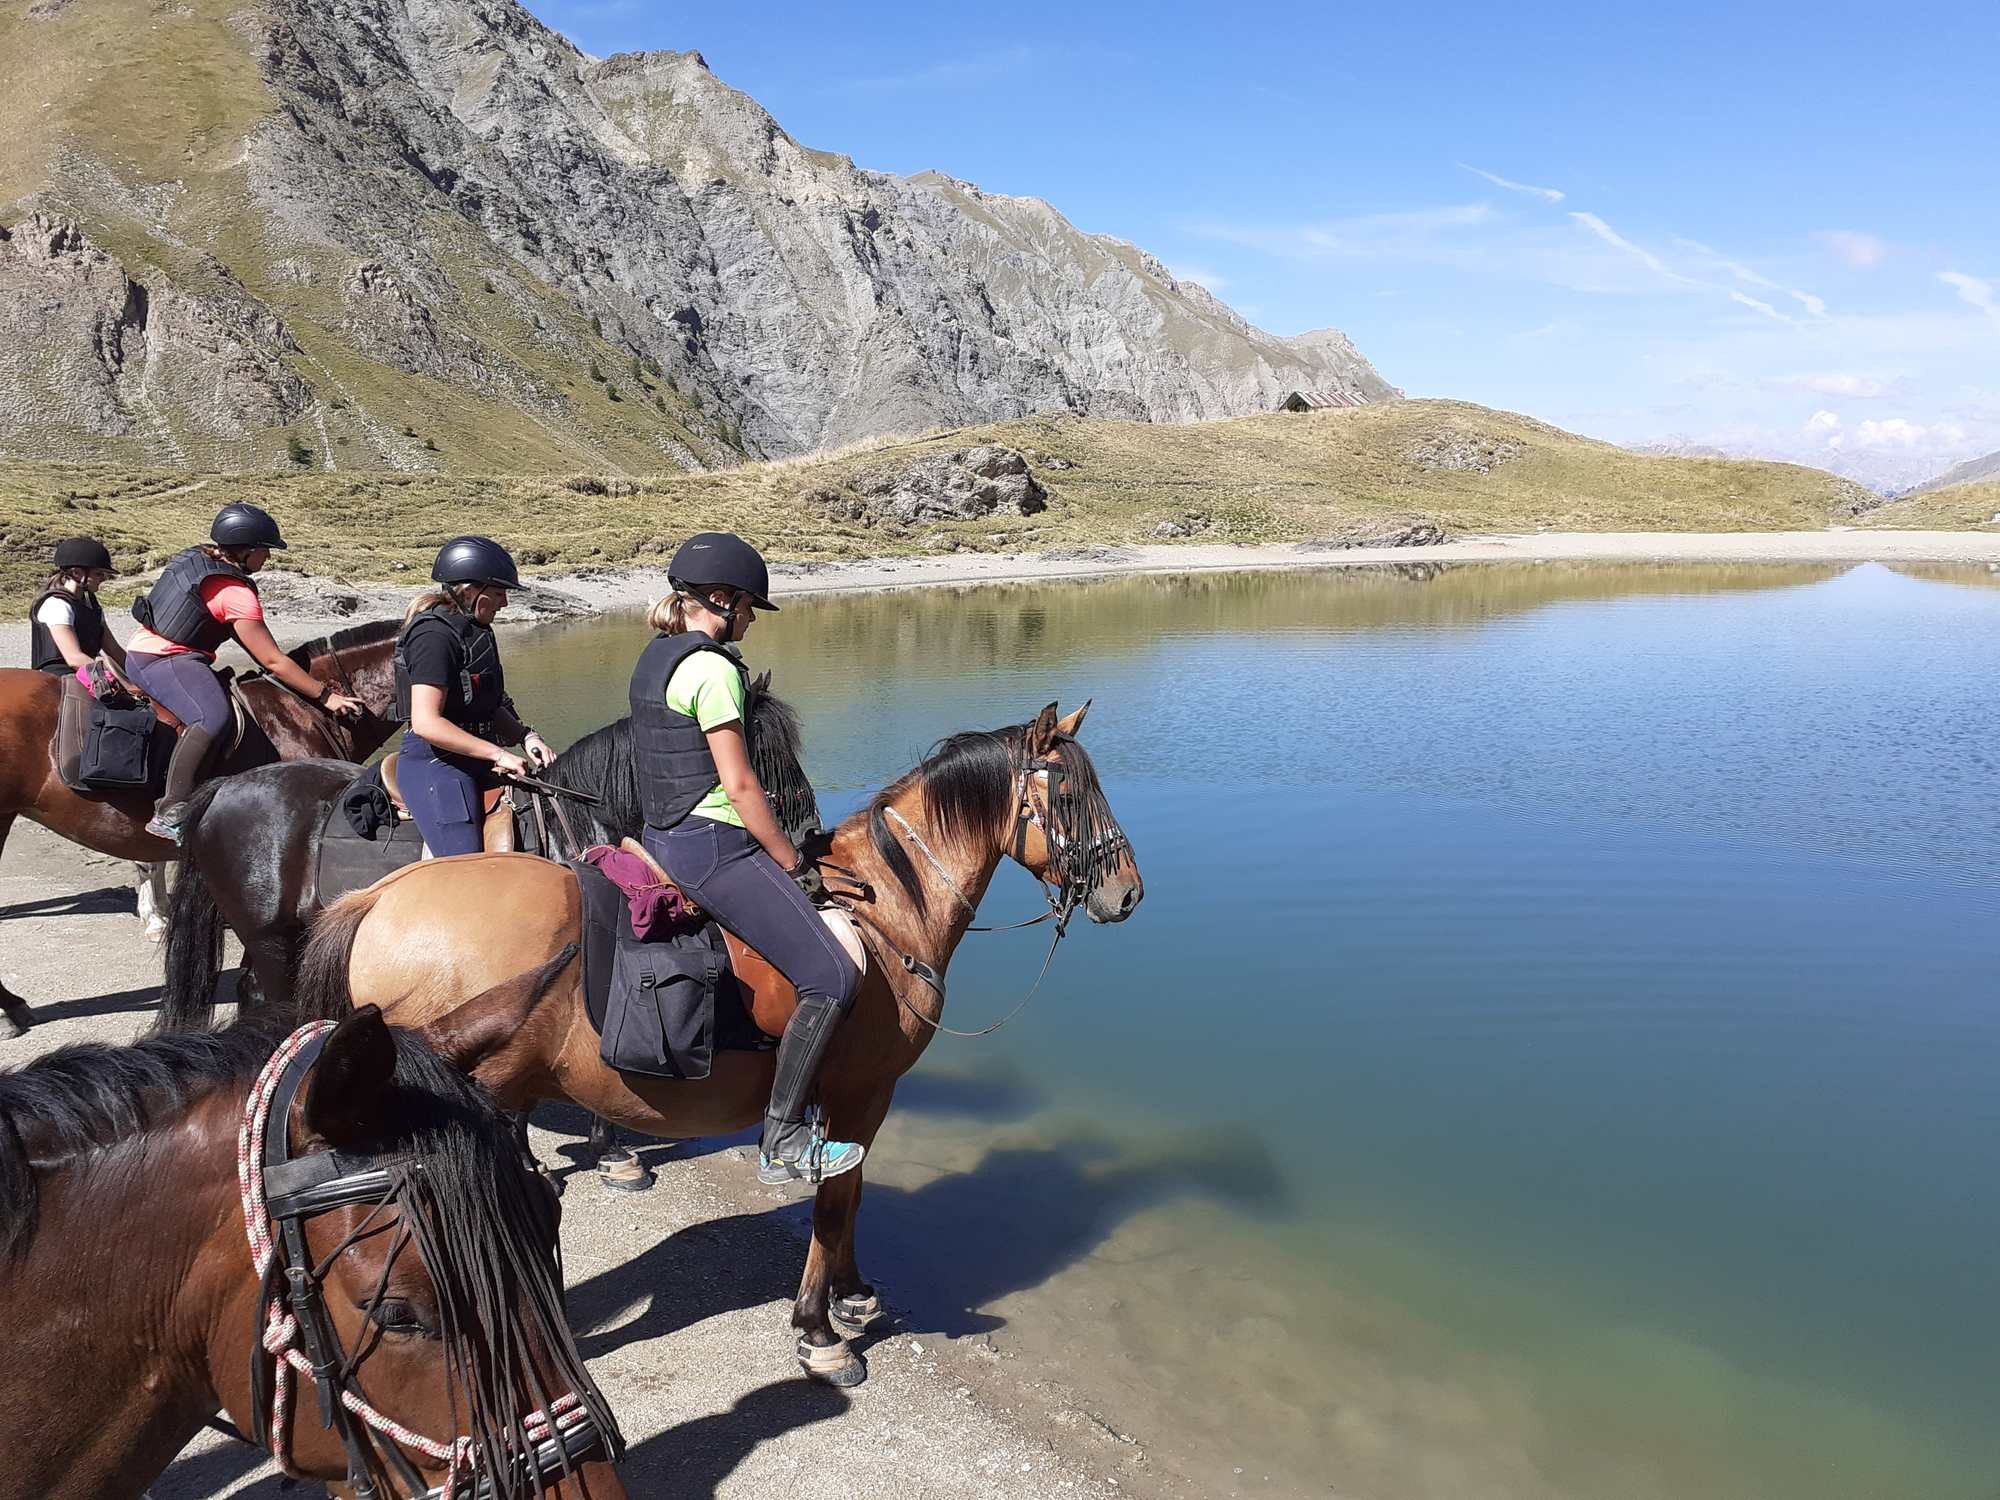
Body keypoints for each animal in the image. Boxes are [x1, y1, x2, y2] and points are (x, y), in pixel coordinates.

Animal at [284, 701, 1142, 1388]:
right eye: (1071, 795)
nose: (1128, 891)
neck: (885, 910)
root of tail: (379, 898)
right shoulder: (860, 1092)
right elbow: (835, 1201)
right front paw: (818, 1331)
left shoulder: (861, 1100)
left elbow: (855, 1194)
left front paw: (853, 1293)